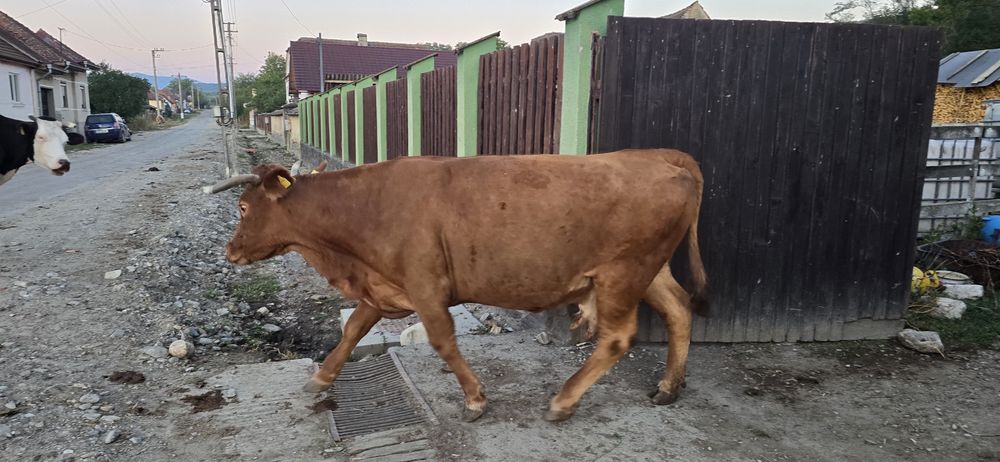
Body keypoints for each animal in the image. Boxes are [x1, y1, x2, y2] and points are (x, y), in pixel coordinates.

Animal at [208, 148, 708, 422]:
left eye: (243, 208)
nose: (230, 250)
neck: (366, 207)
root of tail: (658, 156)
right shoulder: (384, 285)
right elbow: (352, 331)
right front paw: (320, 377)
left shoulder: (426, 285)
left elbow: (443, 342)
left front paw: (474, 399)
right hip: (649, 271)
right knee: (679, 310)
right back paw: (669, 386)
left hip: (622, 273)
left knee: (618, 338)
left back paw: (564, 400)